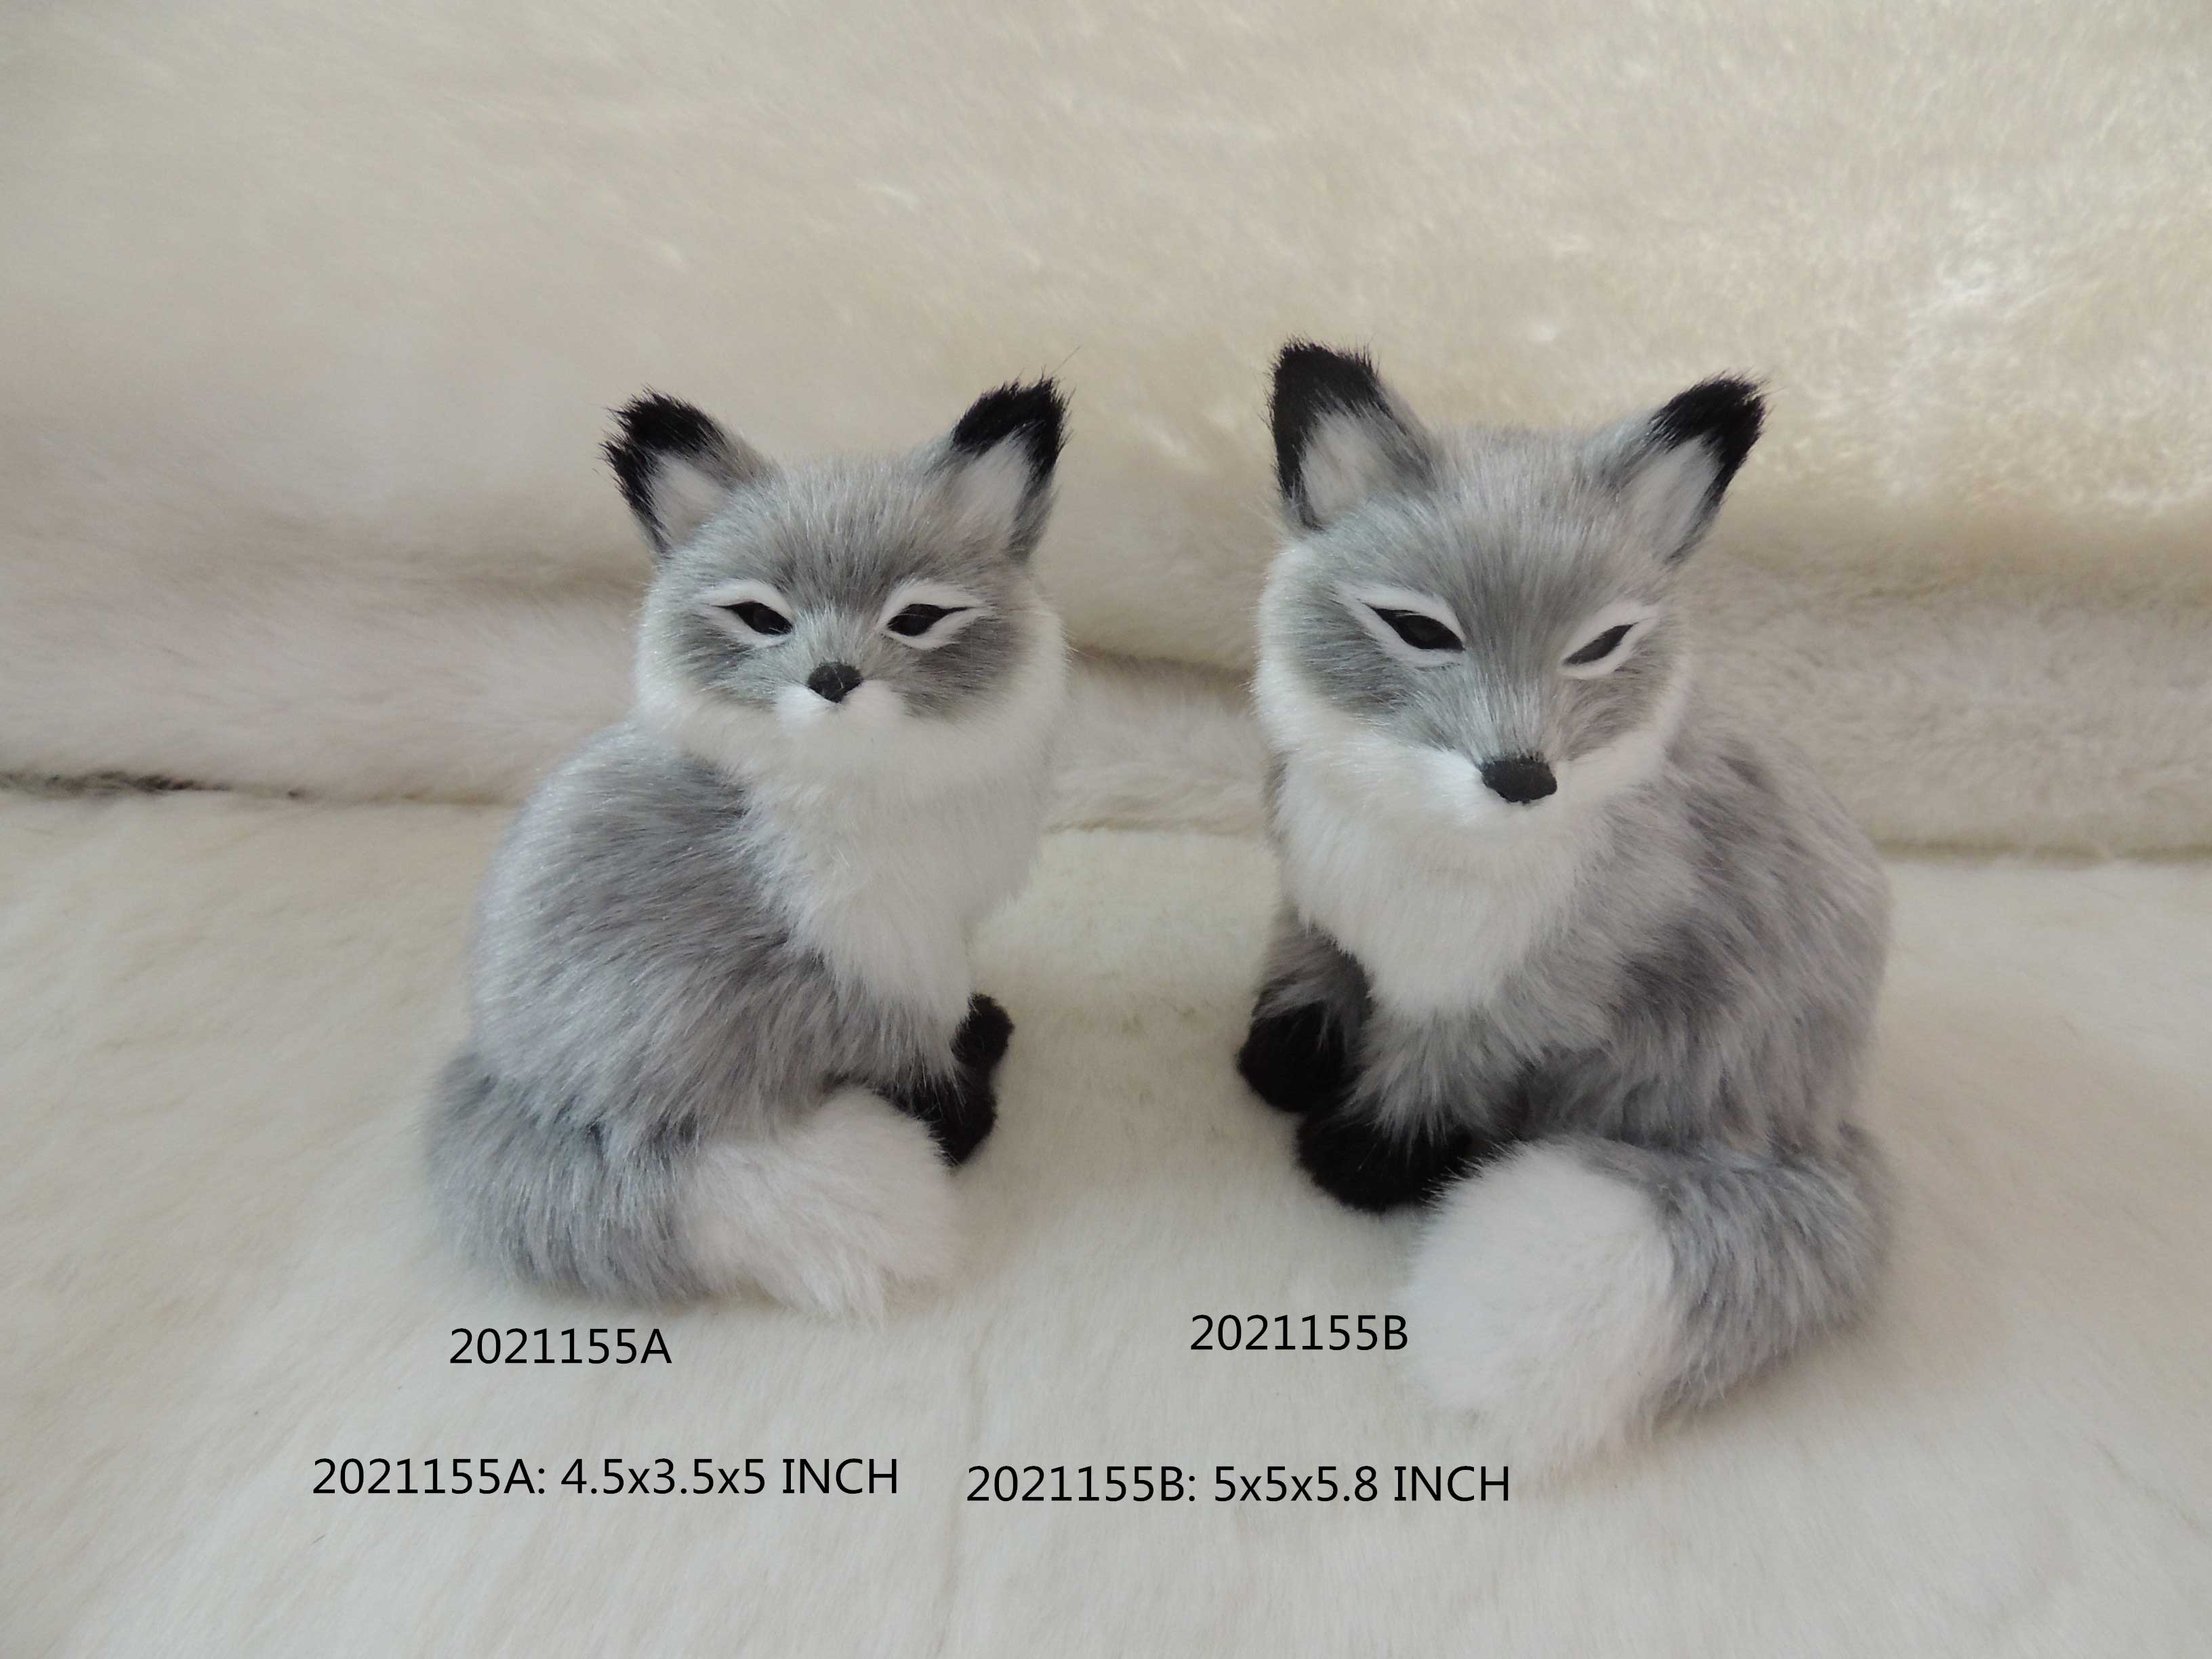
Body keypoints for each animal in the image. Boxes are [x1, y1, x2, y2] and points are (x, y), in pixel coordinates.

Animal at [428, 379, 1071, 1315]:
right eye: (762, 618)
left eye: (916, 619)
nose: (833, 677)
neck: (847, 789)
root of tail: (519, 1093)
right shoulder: (889, 948)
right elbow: (927, 1044)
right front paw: (960, 1091)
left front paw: (984, 1033)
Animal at [1239, 342, 1891, 1473]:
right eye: (1419, 630)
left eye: (1599, 645)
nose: (1522, 776)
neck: (1412, 838)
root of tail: (1823, 1136)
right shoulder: (1322, 913)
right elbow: (1308, 975)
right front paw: (1279, 1064)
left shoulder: (1506, 1000)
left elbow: (1423, 1083)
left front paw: (1358, 1163)